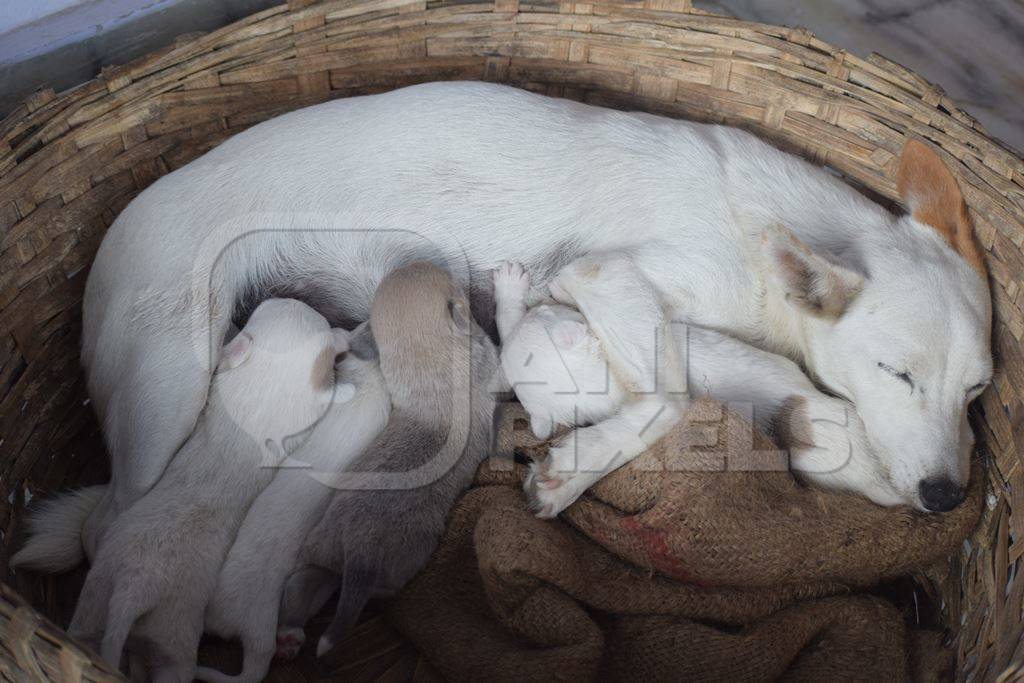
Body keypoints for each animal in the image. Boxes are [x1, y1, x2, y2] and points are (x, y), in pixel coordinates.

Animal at [86, 81, 991, 518]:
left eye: (978, 388)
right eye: (898, 373)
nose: (949, 499)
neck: (760, 221)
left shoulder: (674, 324)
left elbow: (766, 380)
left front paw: (846, 449)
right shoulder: (602, 280)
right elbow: (670, 399)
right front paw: (571, 473)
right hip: (169, 390)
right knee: (111, 517)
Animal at [276, 259, 499, 659]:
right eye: (452, 282)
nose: (424, 258)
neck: (428, 364)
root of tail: (359, 557)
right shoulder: (488, 359)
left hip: (322, 548)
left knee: (304, 587)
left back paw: (289, 634)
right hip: (397, 568)